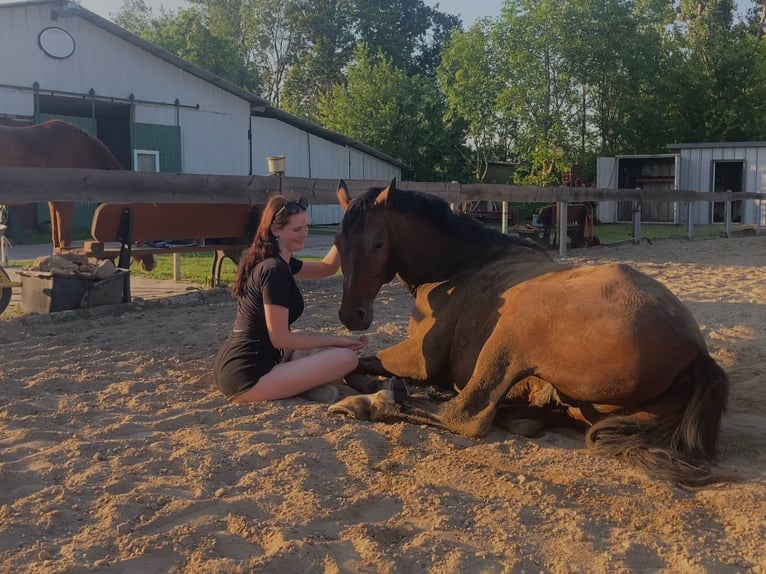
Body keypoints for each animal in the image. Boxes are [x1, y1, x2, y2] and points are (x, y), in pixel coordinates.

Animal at [0, 121, 154, 272]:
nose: (151, 263)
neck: (80, 148)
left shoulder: (54, 202)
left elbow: (56, 238)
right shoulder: (65, 203)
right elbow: (64, 239)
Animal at [330, 181, 732, 490]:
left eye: (378, 243)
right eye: (338, 242)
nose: (352, 315)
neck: (459, 266)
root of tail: (696, 351)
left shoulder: (417, 357)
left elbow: (356, 363)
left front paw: (372, 387)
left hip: (511, 338)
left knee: (468, 415)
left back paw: (372, 403)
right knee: (521, 415)